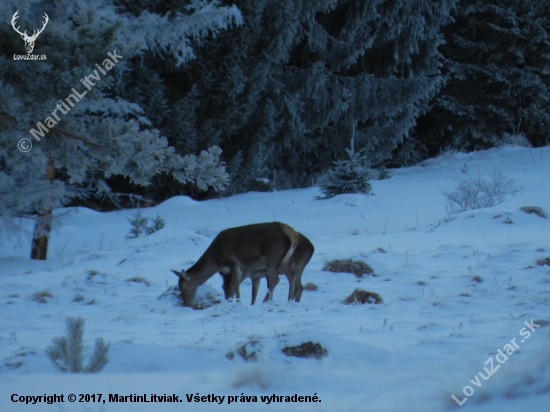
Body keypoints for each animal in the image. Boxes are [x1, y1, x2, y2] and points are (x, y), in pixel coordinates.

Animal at [172, 222, 302, 306]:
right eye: (179, 288)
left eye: (185, 289)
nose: (186, 303)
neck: (216, 259)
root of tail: (293, 234)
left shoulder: (233, 262)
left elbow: (235, 283)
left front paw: (238, 302)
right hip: (285, 259)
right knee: (291, 275)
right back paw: (289, 300)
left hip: (272, 257)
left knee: (275, 279)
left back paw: (266, 301)